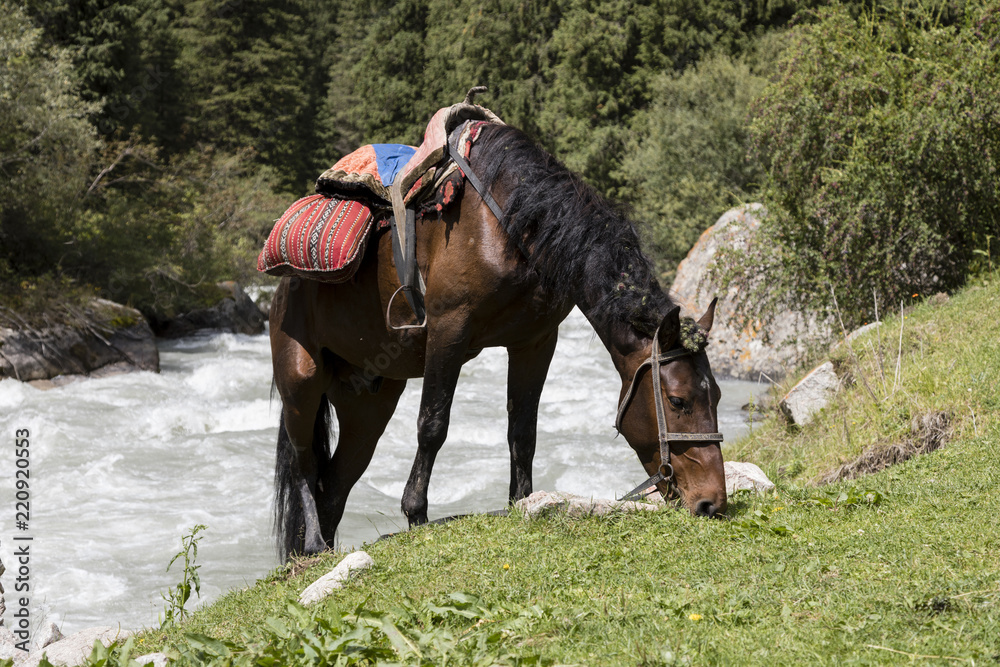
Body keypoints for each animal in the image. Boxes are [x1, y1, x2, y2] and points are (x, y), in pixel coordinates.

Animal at [268, 121, 728, 560]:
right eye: (678, 401)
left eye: (717, 396)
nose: (712, 503)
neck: (512, 225)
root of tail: (285, 284)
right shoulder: (448, 332)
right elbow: (433, 425)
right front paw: (416, 515)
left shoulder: (535, 341)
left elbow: (522, 430)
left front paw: (522, 501)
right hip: (301, 383)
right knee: (305, 465)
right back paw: (313, 546)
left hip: (369, 407)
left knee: (335, 483)